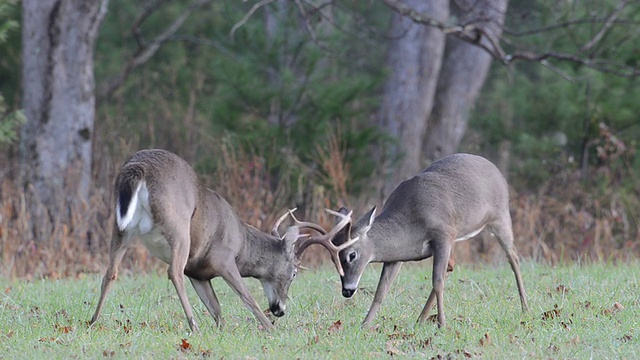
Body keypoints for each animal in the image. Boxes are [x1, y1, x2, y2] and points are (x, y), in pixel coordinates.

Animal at [89, 149, 344, 332]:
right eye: (294, 273)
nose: (280, 310)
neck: (242, 244)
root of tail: (138, 167)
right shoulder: (223, 258)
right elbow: (246, 296)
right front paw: (272, 330)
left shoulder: (198, 273)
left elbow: (216, 308)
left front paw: (223, 330)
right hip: (178, 227)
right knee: (173, 272)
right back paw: (194, 325)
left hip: (121, 229)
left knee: (110, 272)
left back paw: (92, 321)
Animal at [296, 153, 528, 328]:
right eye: (333, 259)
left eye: (351, 254)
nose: (347, 291)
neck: (410, 221)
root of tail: (496, 169)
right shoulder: (396, 256)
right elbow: (381, 291)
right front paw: (364, 325)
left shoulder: (443, 234)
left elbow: (437, 281)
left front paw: (443, 324)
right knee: (452, 267)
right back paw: (420, 319)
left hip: (500, 216)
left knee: (514, 258)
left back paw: (525, 308)